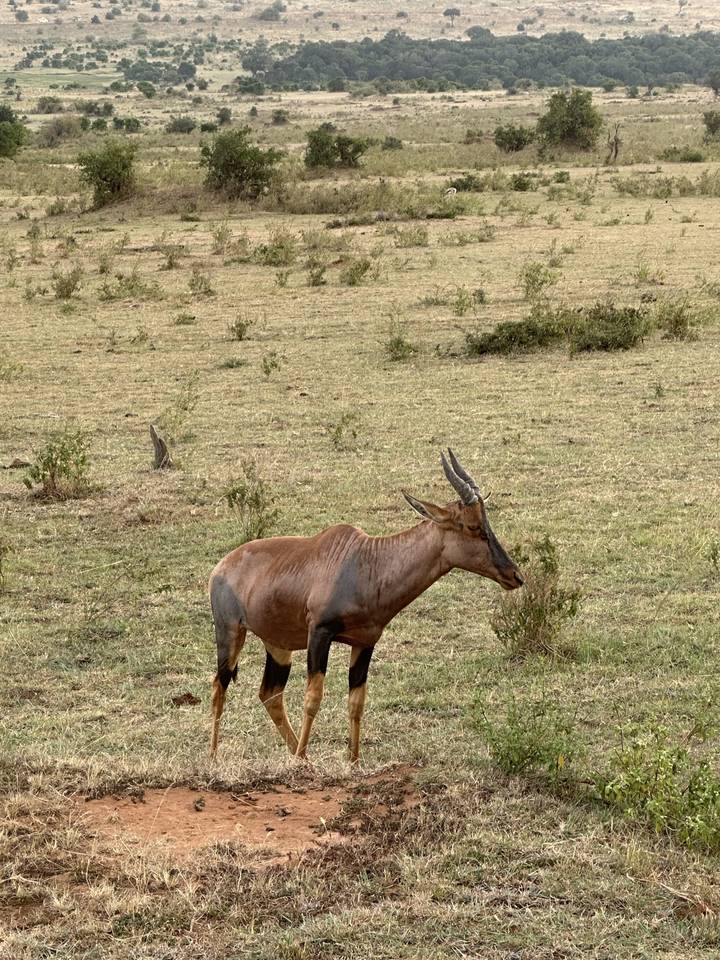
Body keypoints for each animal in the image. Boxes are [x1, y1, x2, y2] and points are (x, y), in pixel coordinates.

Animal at [209, 450, 523, 763]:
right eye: (473, 526)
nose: (515, 576)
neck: (367, 561)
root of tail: (221, 566)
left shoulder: (365, 642)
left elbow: (356, 702)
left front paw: (353, 762)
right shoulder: (319, 634)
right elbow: (313, 698)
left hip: (278, 645)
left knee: (270, 694)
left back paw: (299, 756)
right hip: (230, 633)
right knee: (219, 686)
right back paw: (215, 757)